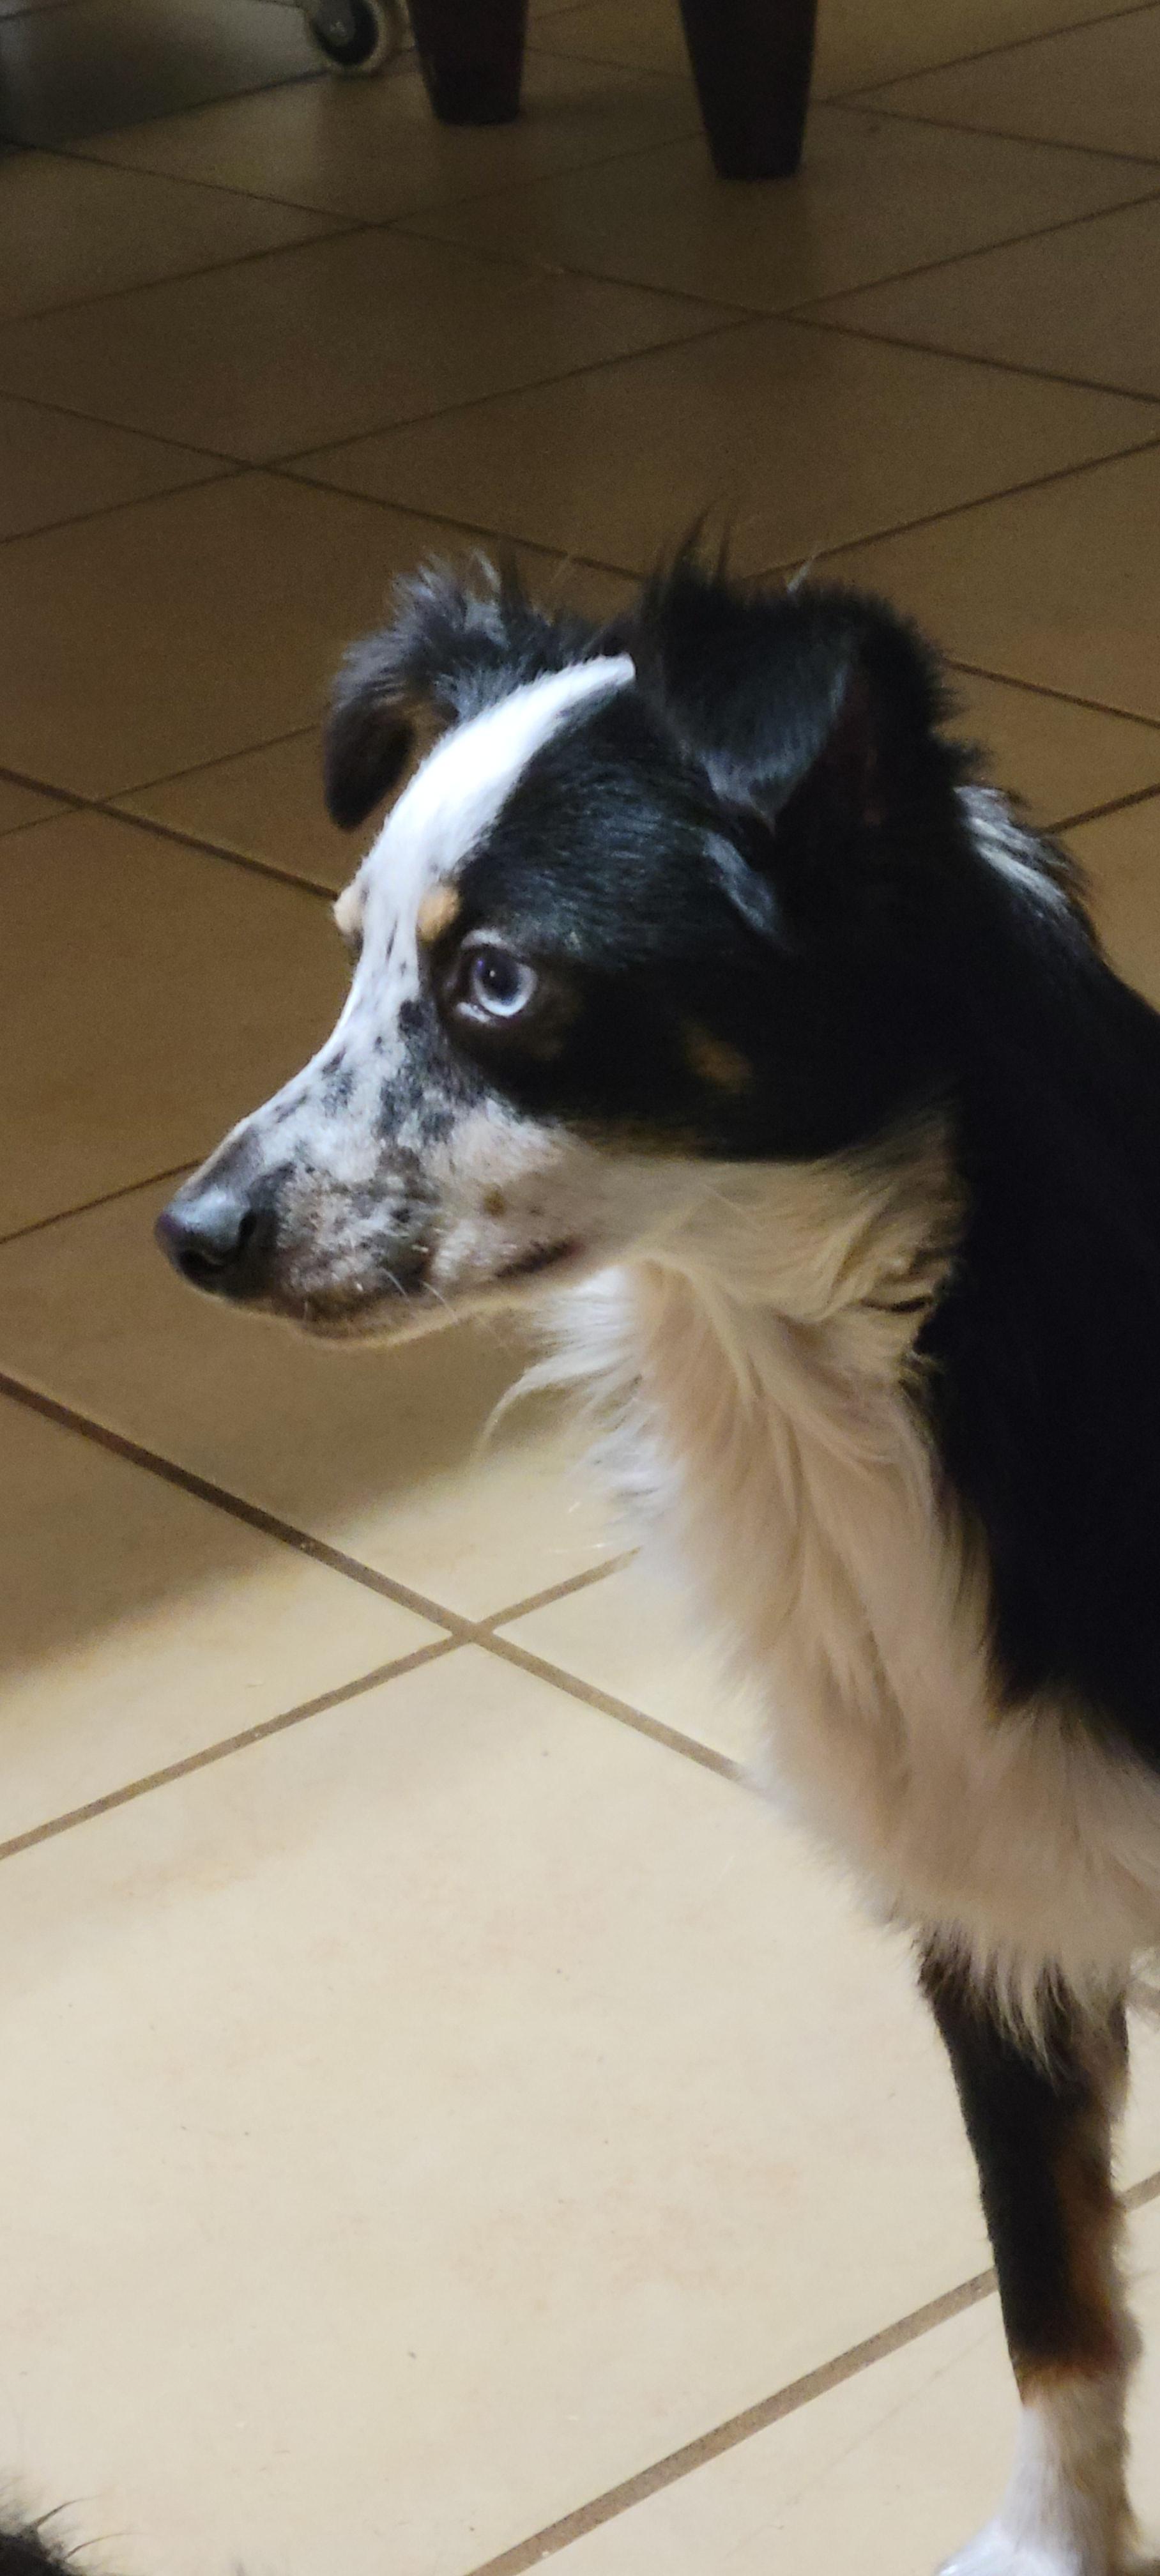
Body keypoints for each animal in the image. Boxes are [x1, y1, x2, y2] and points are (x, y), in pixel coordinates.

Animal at [142, 554, 1160, 2573]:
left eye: (498, 978)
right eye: (354, 944)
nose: (193, 1235)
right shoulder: (993, 1877)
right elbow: (1052, 2287)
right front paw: (1051, 2544)